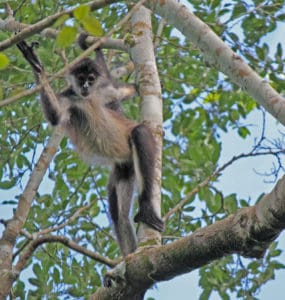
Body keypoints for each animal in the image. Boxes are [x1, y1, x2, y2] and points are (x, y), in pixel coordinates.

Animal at [17, 36, 163, 254]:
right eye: (80, 78)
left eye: (91, 79)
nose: (85, 86)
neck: (85, 99)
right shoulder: (68, 97)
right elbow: (56, 116)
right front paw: (36, 66)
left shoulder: (102, 91)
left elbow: (129, 89)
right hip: (124, 169)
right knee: (119, 215)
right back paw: (130, 259)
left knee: (140, 132)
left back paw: (145, 209)